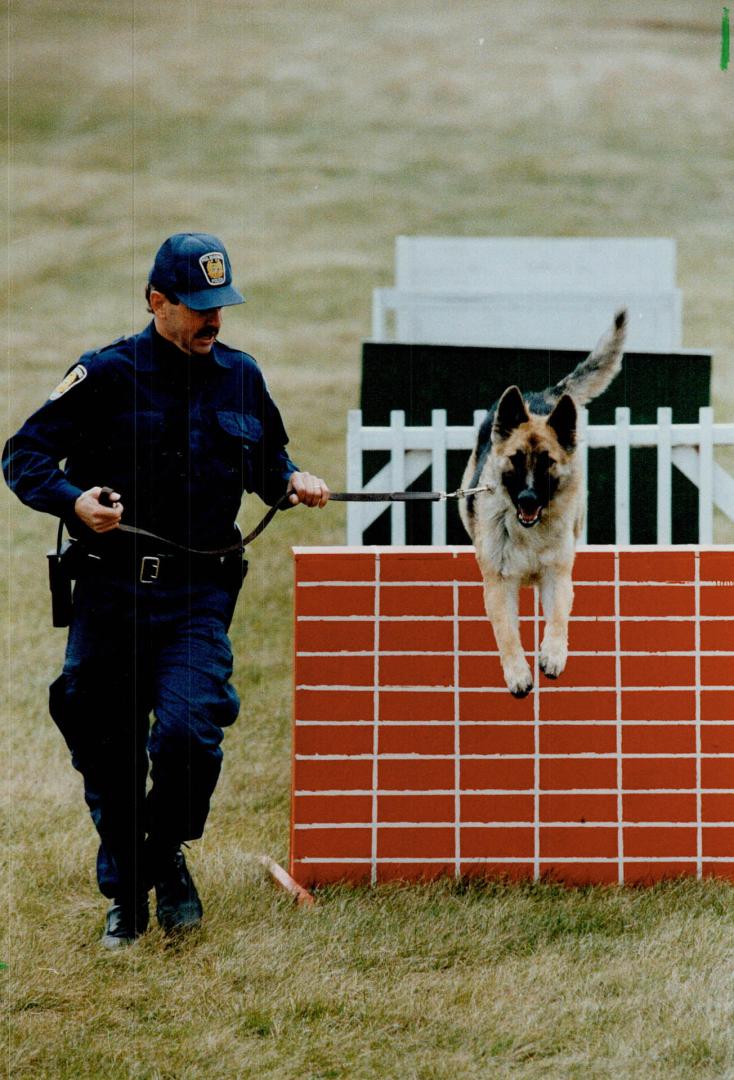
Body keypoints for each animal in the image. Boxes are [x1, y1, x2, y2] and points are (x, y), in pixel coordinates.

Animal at [457, 311, 626, 699]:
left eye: (547, 462)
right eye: (517, 460)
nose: (528, 500)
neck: (527, 535)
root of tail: (540, 397)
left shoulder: (557, 576)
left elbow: (559, 617)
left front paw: (553, 653)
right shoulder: (499, 584)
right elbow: (507, 632)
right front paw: (518, 673)